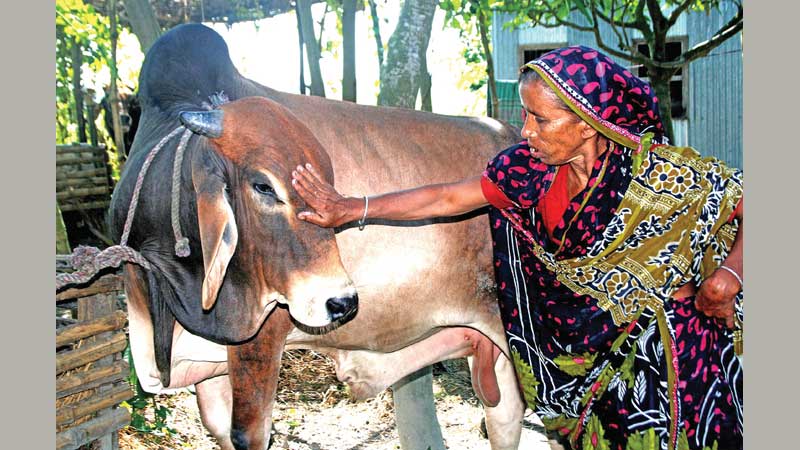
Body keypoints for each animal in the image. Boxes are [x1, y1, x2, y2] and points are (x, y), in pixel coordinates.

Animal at [112, 24, 524, 450]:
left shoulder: (260, 334)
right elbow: (218, 426)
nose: (342, 302)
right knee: (503, 417)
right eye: (263, 186)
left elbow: (247, 433)